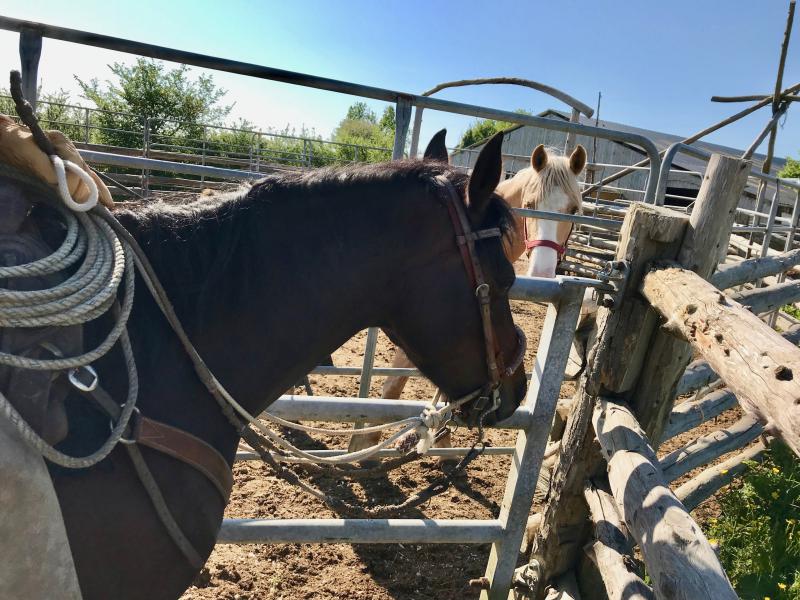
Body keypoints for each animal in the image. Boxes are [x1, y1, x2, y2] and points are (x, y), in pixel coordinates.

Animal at [348, 133, 586, 453]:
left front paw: (442, 439)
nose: (543, 271)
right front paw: (365, 444)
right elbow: (394, 384)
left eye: (573, 209)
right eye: (531, 203)